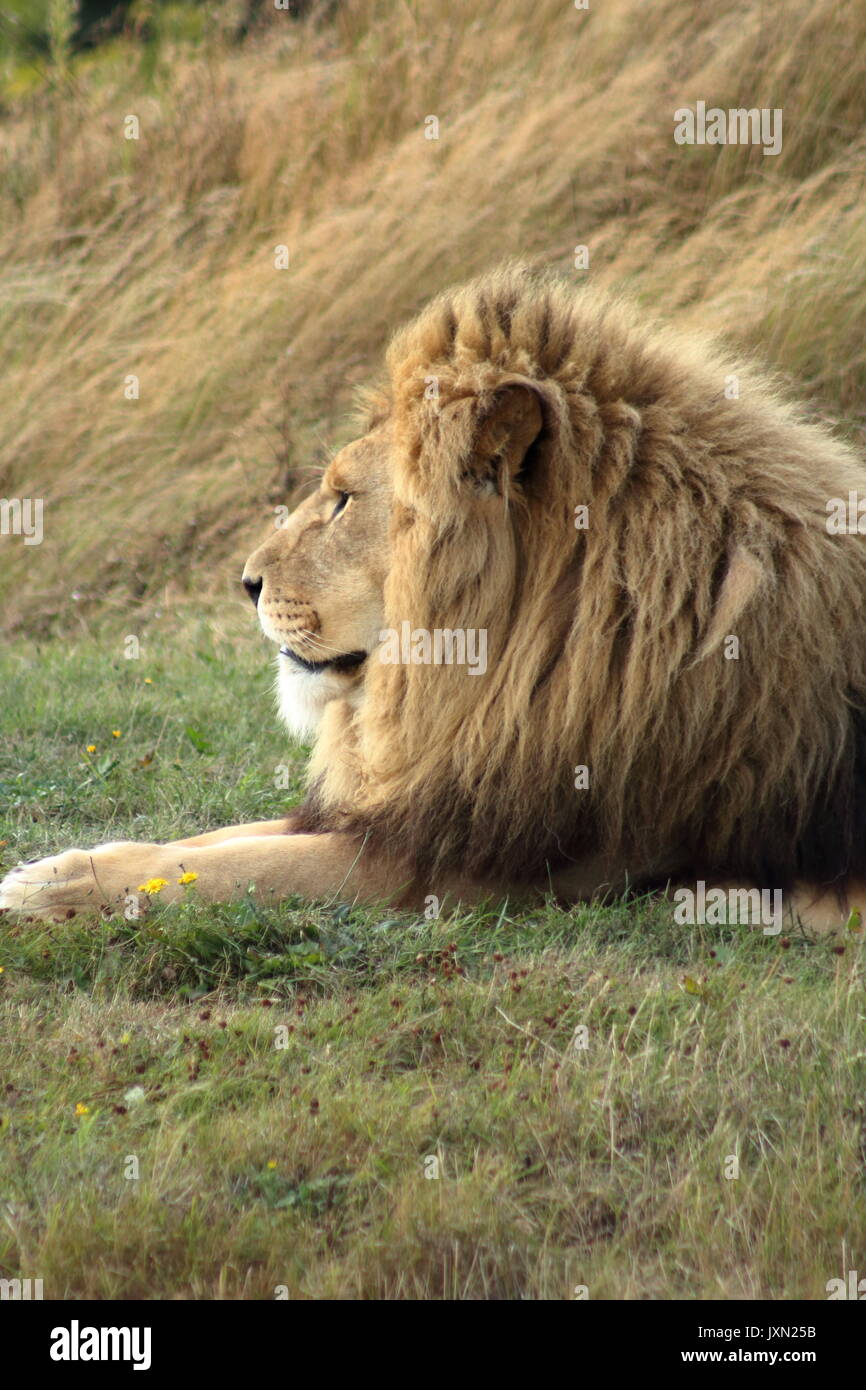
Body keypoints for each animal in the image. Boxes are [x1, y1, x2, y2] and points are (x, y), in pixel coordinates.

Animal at [3, 262, 866, 932]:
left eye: (343, 500)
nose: (245, 581)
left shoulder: (458, 866)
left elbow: (234, 867)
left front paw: (57, 887)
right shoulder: (409, 805)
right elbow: (214, 840)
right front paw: (51, 864)